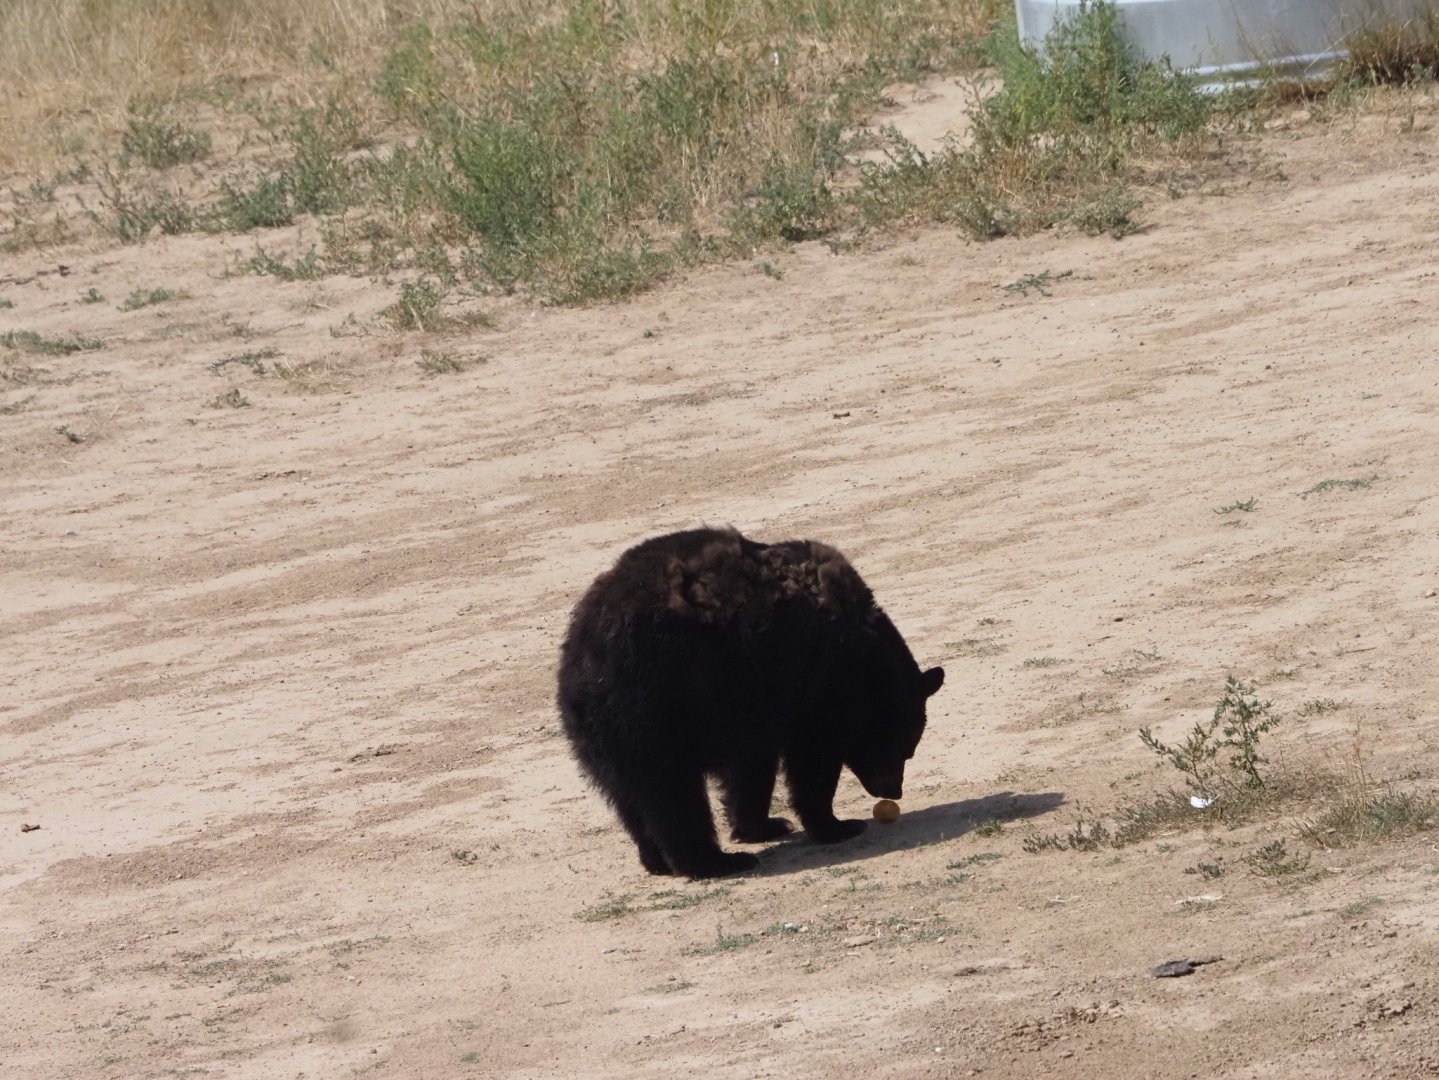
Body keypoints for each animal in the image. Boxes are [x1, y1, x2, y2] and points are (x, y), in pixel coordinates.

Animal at [557, 527, 944, 879]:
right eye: (904, 747)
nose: (893, 790)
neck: (862, 658)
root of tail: (584, 653)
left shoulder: (752, 706)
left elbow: (750, 768)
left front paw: (763, 826)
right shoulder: (808, 686)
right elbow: (811, 762)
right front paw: (836, 825)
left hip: (602, 735)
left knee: (630, 798)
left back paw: (656, 861)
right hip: (653, 706)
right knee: (672, 793)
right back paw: (712, 863)